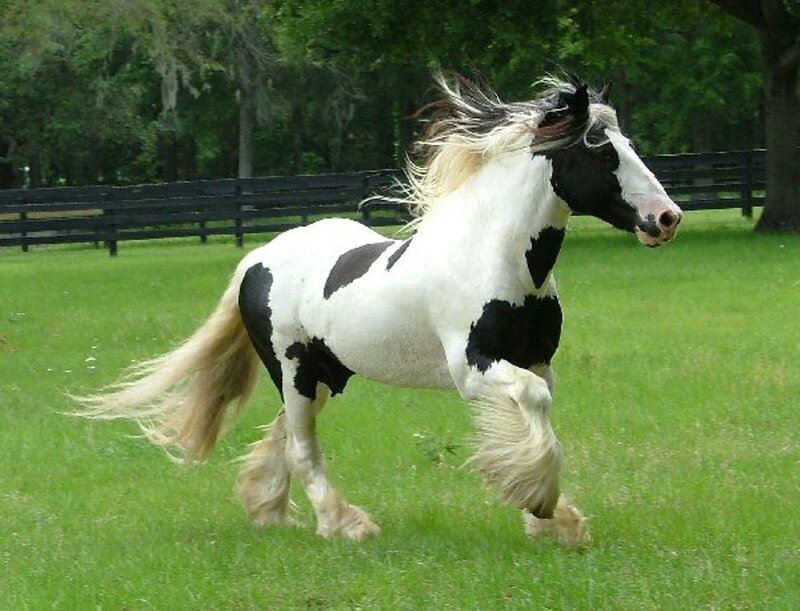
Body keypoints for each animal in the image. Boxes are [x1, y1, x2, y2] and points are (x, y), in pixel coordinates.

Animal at [74, 73, 682, 547]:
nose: (667, 218)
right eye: (601, 150)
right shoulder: (474, 368)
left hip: (324, 375)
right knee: (302, 448)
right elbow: (532, 411)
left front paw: (553, 522)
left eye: (625, 143)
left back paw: (268, 511)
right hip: (294, 371)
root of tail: (256, 259)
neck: (493, 255)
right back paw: (344, 526)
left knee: (284, 436)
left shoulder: (534, 361)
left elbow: (538, 420)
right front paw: (541, 503)